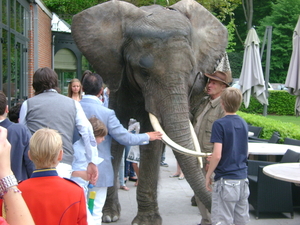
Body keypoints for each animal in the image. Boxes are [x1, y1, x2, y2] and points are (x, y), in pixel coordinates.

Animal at [72, 0, 227, 223]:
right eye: (143, 72)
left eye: (191, 71)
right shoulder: (118, 77)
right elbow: (116, 134)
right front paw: (109, 216)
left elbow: (151, 139)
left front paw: (146, 221)